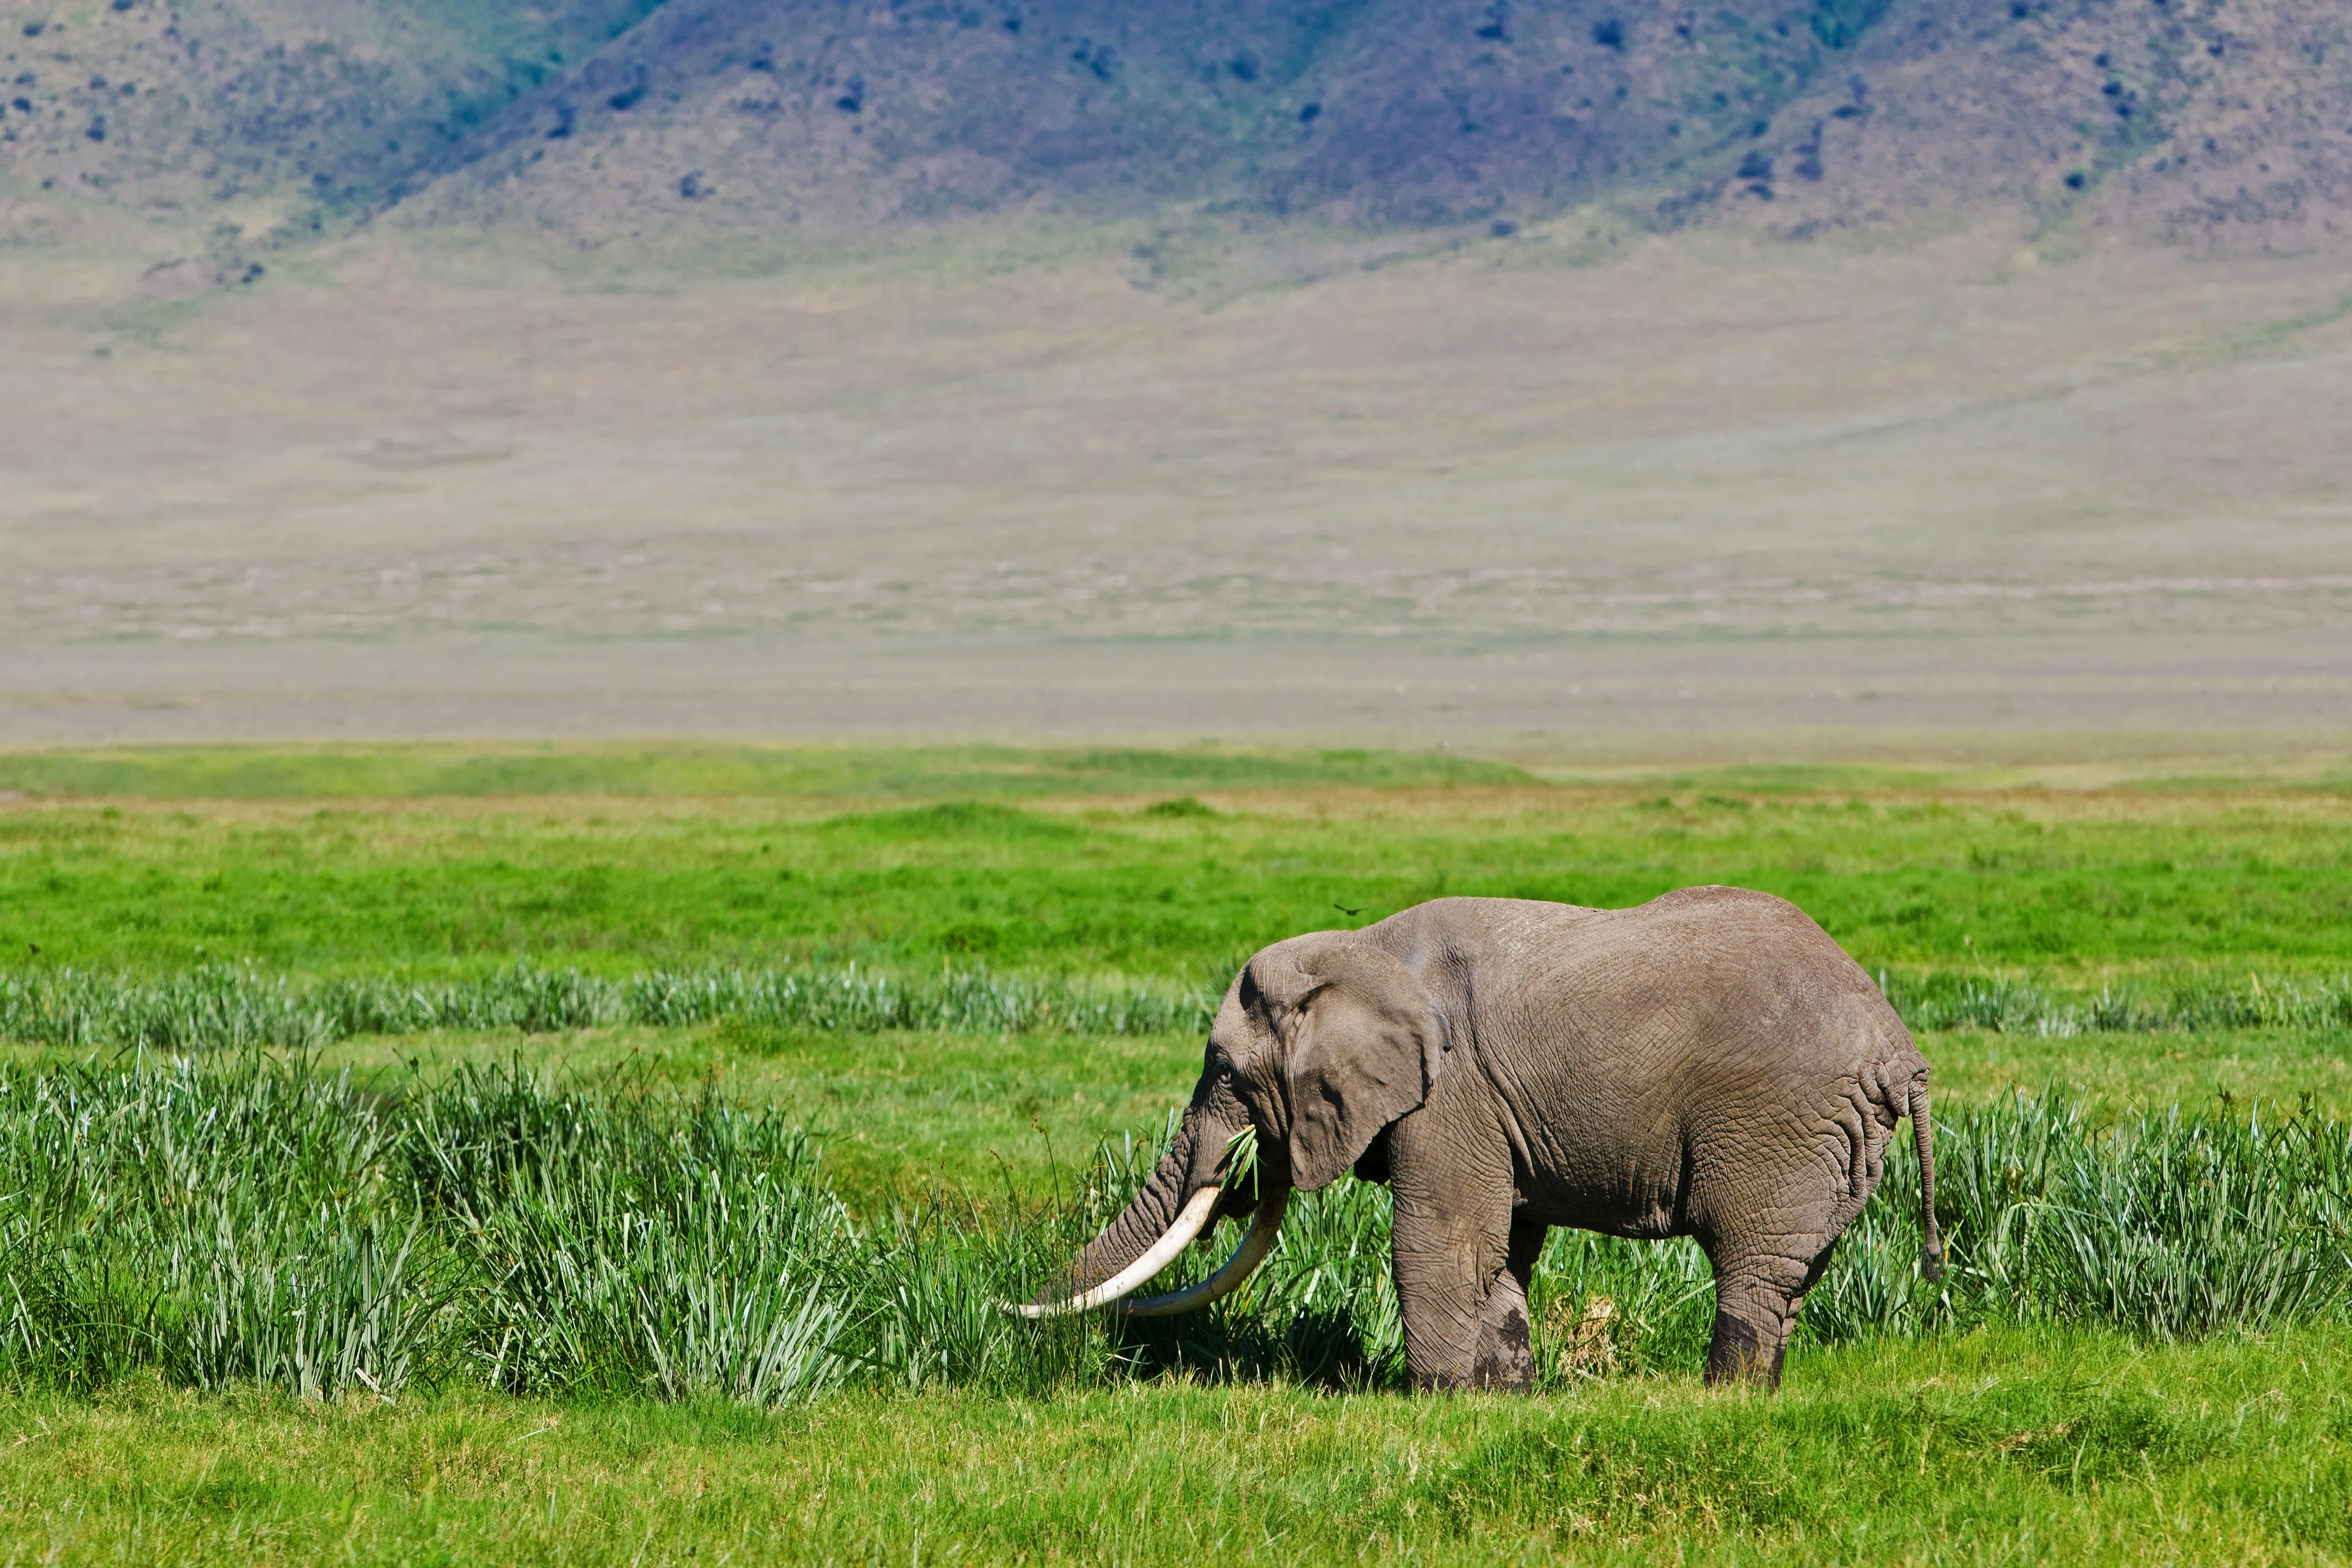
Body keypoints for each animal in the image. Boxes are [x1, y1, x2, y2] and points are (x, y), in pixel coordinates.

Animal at [1022, 889, 1942, 1389]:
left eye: (1225, 1072)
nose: (1015, 1302)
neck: (1360, 948)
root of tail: (1899, 1049)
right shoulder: (1495, 1106)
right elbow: (1501, 1247)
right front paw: (1502, 1399)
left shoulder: (1451, 1093)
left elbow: (1439, 1238)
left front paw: (1432, 1400)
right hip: (1831, 1136)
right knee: (1794, 1272)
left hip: (1776, 1123)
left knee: (1751, 1267)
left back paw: (1723, 1397)